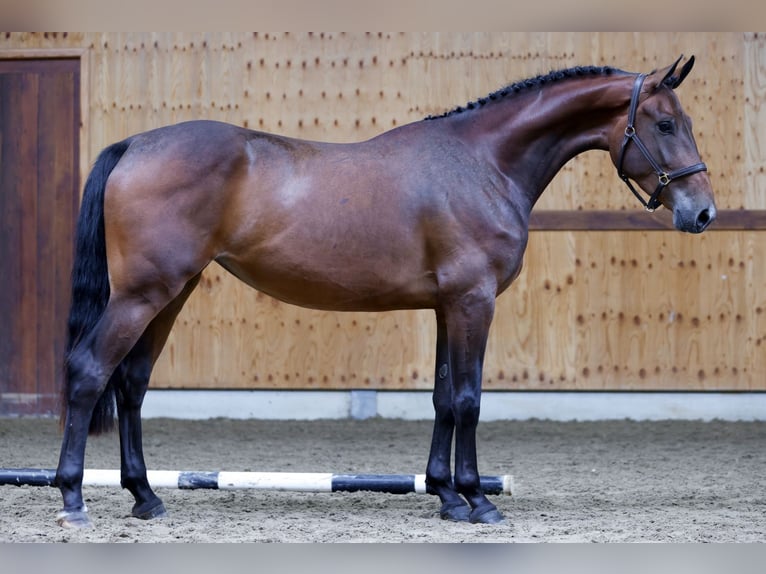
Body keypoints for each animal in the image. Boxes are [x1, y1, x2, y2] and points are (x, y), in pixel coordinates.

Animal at [57, 56, 716, 528]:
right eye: (664, 124)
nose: (703, 212)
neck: (481, 163)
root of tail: (135, 145)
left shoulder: (449, 307)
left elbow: (444, 399)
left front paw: (446, 495)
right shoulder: (474, 302)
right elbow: (470, 400)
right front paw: (479, 501)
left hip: (172, 293)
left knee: (132, 384)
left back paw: (146, 497)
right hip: (144, 293)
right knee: (90, 370)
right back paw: (72, 497)